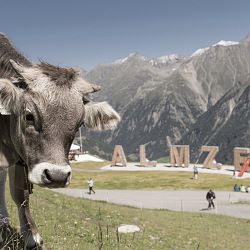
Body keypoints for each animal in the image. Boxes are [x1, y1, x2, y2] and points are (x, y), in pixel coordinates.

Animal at [0, 32, 120, 248]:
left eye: (80, 123)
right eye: (29, 116)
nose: (56, 176)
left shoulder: (21, 158)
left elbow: (20, 194)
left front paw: (31, 236)